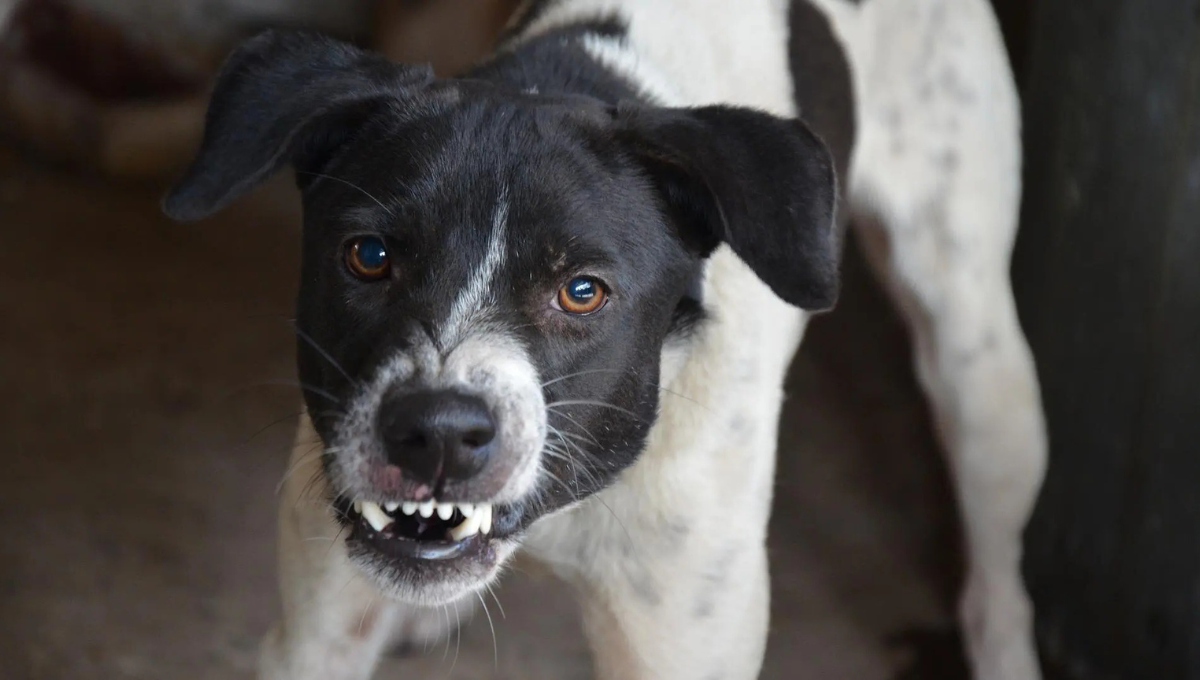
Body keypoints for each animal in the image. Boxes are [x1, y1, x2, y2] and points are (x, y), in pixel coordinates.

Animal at [164, 1, 1046, 680]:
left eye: (582, 291)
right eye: (369, 256)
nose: (437, 432)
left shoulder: (679, 640)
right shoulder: (314, 637)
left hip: (979, 362)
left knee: (998, 573)